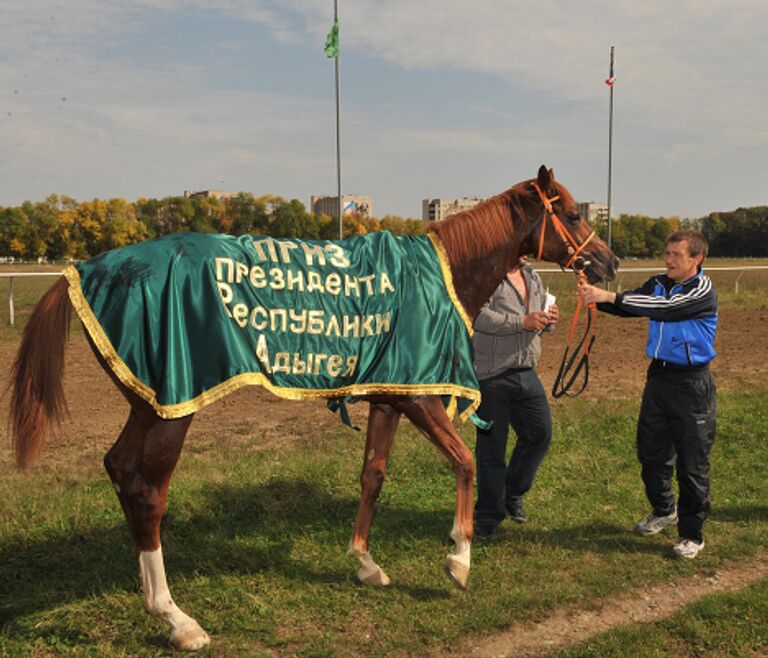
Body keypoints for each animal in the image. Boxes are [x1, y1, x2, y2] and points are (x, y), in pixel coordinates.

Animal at [7, 164, 616, 644]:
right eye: (569, 212)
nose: (608, 265)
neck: (438, 276)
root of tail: (90, 269)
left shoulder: (389, 397)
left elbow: (373, 474)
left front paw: (366, 563)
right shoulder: (420, 397)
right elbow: (465, 462)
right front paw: (458, 559)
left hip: (149, 403)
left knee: (118, 470)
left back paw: (147, 590)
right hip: (172, 407)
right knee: (145, 489)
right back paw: (175, 616)